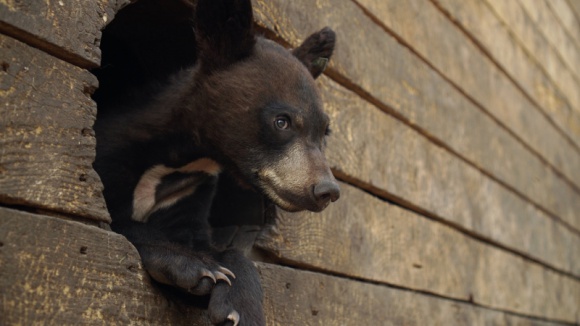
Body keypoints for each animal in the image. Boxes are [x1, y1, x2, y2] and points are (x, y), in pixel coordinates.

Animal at [94, 0, 340, 324]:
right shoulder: (112, 158)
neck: (183, 160)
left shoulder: (188, 193)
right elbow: (124, 223)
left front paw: (242, 307)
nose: (327, 190)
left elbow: (219, 248)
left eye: (325, 131)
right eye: (282, 122)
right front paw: (192, 265)